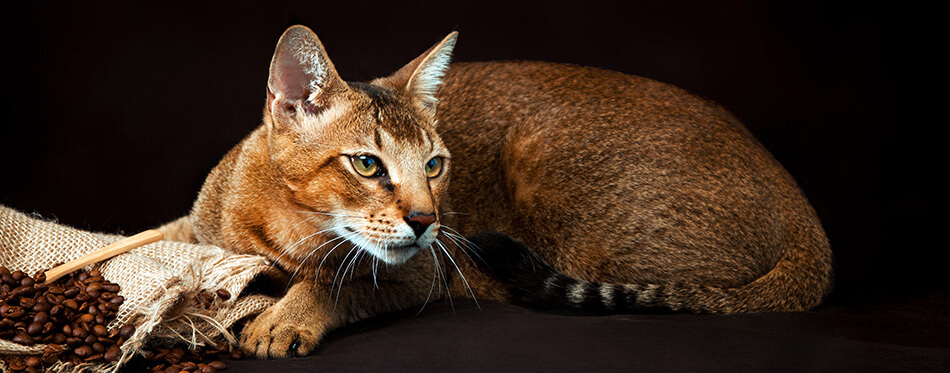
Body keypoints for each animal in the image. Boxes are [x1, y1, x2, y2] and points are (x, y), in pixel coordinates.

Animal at [158, 24, 832, 356]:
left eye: (434, 164)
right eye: (368, 165)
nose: (427, 220)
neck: (282, 226)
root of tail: (803, 212)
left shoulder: (423, 270)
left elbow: (340, 279)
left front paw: (288, 316)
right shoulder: (202, 229)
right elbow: (169, 240)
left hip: (549, 163)